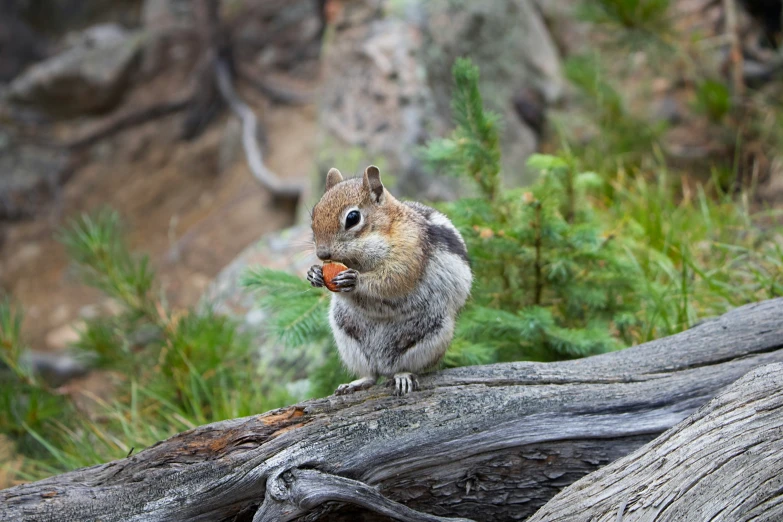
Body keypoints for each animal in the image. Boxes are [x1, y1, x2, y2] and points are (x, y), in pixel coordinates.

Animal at [306, 165, 472, 392]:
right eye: (314, 214)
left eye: (353, 218)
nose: (322, 254)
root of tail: (383, 365)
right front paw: (314, 273)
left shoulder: (410, 250)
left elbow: (393, 279)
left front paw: (354, 280)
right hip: (346, 335)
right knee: (371, 374)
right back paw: (358, 382)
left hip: (432, 334)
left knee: (403, 367)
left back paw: (402, 377)